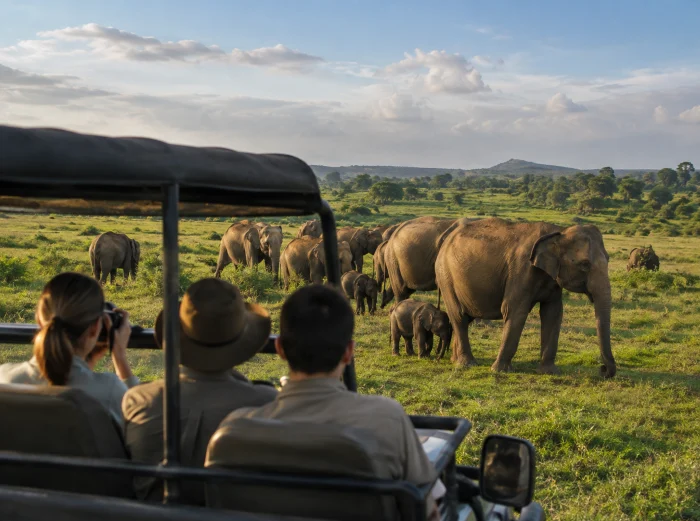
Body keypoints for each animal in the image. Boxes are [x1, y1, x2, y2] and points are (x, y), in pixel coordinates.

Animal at [435, 217, 616, 378]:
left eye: (608, 260)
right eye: (585, 265)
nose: (603, 370)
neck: (559, 232)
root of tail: (446, 239)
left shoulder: (552, 280)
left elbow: (553, 313)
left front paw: (549, 372)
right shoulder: (521, 271)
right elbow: (515, 311)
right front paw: (500, 371)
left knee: (464, 317)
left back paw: (455, 360)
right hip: (445, 276)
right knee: (459, 316)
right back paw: (467, 363)